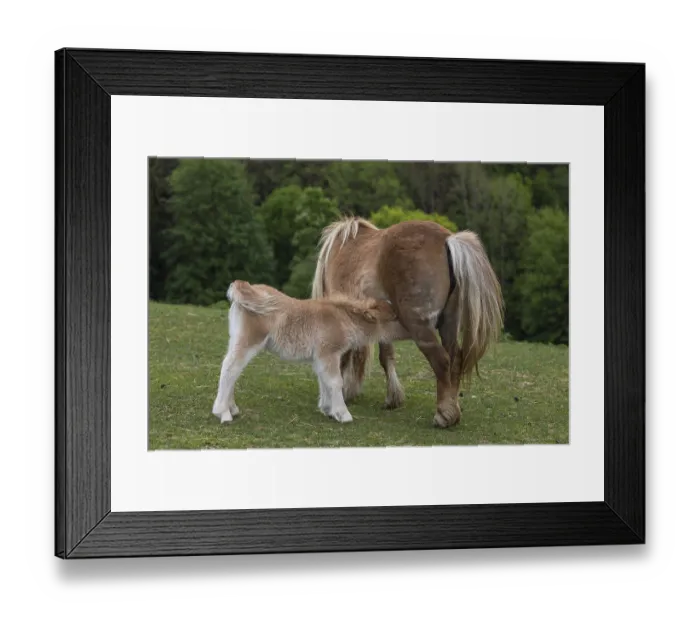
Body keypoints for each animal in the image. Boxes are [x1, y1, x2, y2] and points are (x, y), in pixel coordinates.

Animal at [211, 279, 402, 424]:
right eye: (394, 317)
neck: (342, 318)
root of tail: (246, 287)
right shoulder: (328, 352)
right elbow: (335, 381)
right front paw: (343, 414)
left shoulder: (320, 357)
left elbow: (324, 380)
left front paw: (328, 409)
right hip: (249, 339)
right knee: (230, 367)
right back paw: (223, 413)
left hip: (236, 338)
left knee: (233, 368)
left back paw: (232, 408)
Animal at [310, 216, 504, 428]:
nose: (349, 392)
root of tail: (447, 241)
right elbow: (386, 356)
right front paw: (392, 398)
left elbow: (348, 355)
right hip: (449, 324)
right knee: (455, 359)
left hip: (420, 327)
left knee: (441, 361)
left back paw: (443, 415)